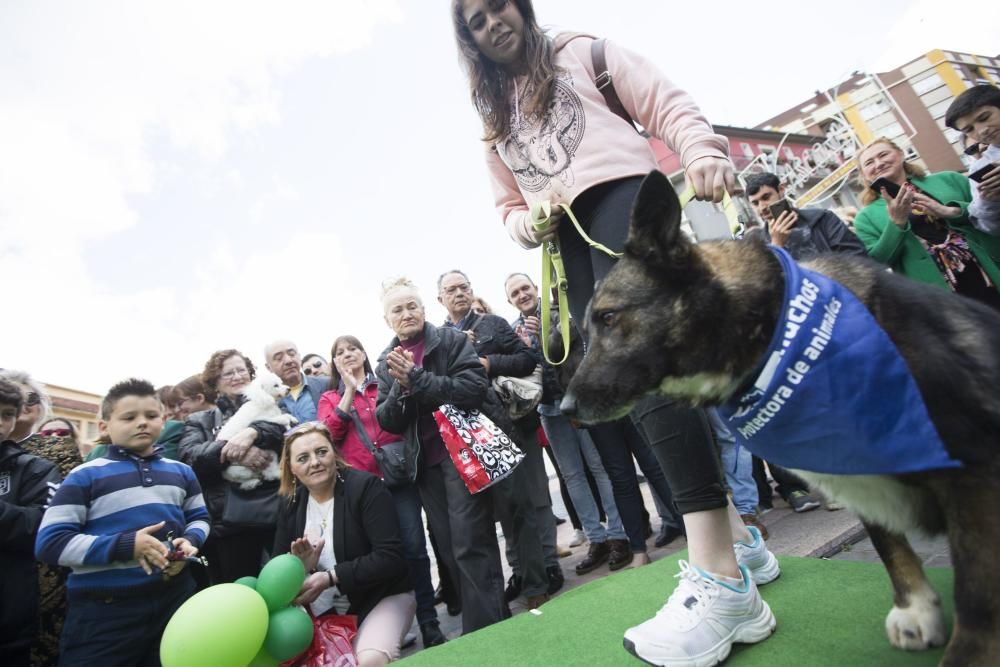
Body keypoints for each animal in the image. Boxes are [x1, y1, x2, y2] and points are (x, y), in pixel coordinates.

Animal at [564, 170, 1000, 664]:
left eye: (609, 317)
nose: (566, 410)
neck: (776, 334)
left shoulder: (977, 480)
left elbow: (978, 602)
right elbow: (889, 545)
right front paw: (916, 609)